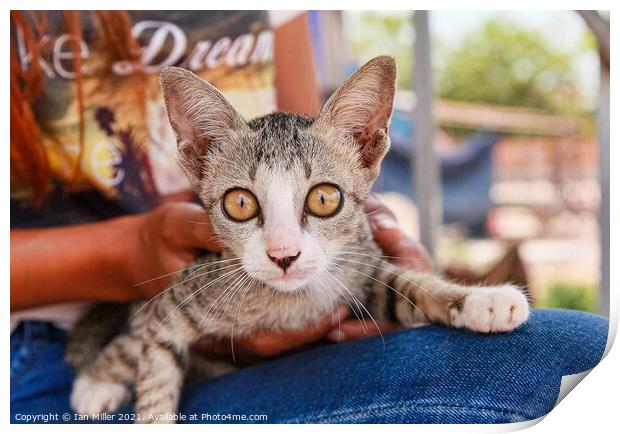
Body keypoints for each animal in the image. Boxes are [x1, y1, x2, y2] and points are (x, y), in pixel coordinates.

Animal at [70, 56, 532, 422]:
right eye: (240, 203)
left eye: (324, 199)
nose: (283, 254)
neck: (289, 304)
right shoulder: (181, 294)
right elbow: (155, 360)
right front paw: (131, 395)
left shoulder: (361, 265)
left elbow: (408, 287)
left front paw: (482, 301)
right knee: (134, 335)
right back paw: (94, 382)